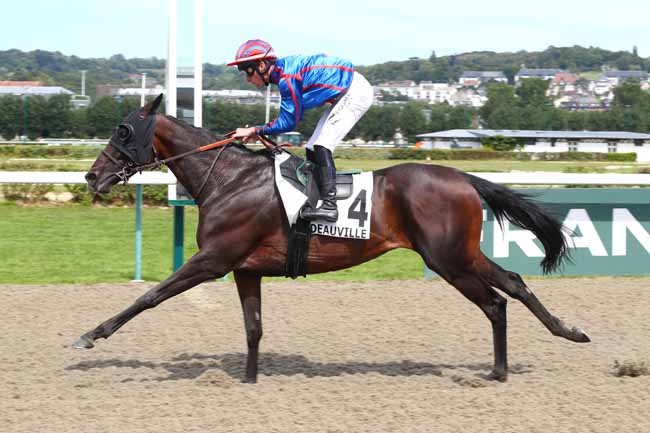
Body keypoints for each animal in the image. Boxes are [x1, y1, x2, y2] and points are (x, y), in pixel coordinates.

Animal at [74, 94, 588, 382]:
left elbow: (150, 296)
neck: (229, 180)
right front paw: (248, 380)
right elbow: (254, 328)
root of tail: (464, 178)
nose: (92, 176)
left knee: (496, 301)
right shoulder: (245, 269)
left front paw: (90, 335)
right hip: (459, 254)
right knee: (513, 283)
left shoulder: (213, 260)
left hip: (448, 258)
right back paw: (562, 333)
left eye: (124, 131)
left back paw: (502, 368)